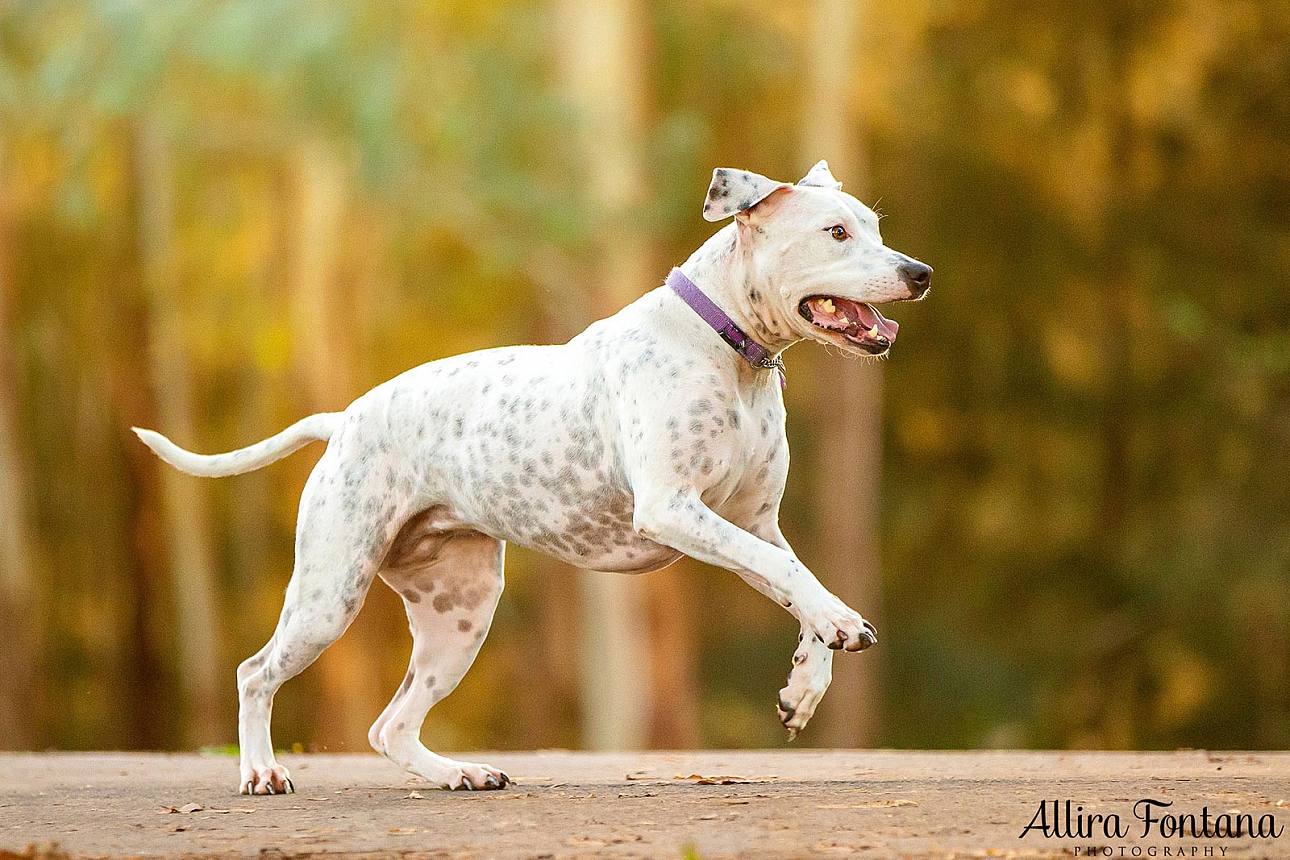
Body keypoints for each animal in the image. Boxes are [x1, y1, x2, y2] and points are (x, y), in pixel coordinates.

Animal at [138, 161, 928, 794]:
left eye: (873, 226)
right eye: (835, 232)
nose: (918, 273)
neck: (729, 351)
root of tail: (345, 421)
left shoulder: (751, 521)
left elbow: (792, 578)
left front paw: (806, 682)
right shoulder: (675, 508)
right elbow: (790, 574)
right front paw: (839, 622)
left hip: (459, 613)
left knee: (390, 726)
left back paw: (460, 773)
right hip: (330, 592)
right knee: (256, 674)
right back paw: (262, 772)